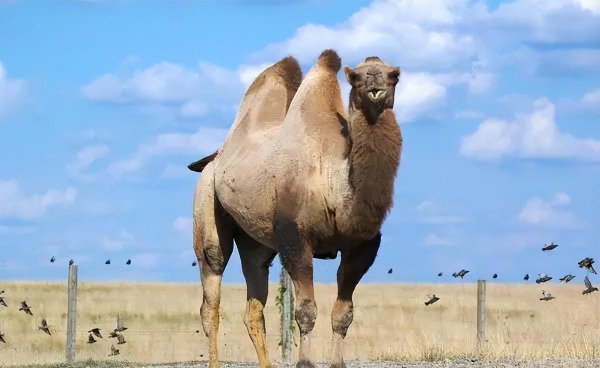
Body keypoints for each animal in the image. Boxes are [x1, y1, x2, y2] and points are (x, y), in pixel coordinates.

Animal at [192, 49, 404, 368]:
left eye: (394, 76)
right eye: (356, 77)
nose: (376, 88)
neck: (333, 185)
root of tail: (214, 159)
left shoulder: (362, 246)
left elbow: (343, 314)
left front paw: (337, 363)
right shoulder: (295, 237)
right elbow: (306, 311)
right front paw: (305, 362)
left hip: (256, 242)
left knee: (254, 302)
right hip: (207, 201)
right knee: (211, 289)